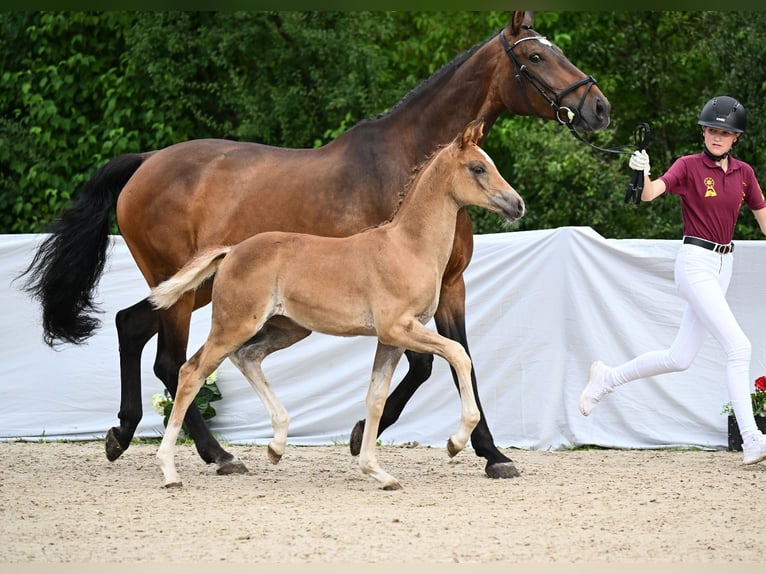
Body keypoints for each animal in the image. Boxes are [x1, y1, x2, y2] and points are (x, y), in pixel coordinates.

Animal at [148, 121, 524, 490]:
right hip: (234, 325)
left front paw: (377, 472)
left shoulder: (389, 340)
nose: (517, 204)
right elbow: (459, 355)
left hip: (287, 329)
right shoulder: (398, 328)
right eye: (478, 168)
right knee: (191, 372)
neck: (408, 246)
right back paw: (172, 471)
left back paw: (276, 445)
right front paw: (454, 443)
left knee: (247, 357)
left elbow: (375, 398)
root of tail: (232, 250)